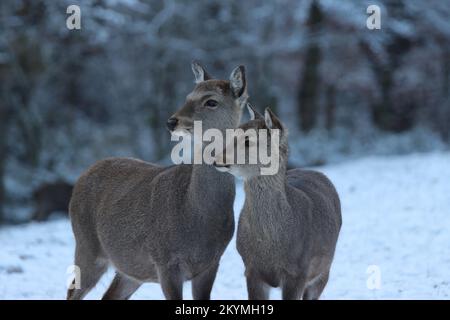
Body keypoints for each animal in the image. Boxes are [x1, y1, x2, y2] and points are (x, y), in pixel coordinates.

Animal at [67, 62, 250, 300]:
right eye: (188, 96)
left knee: (109, 295)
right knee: (72, 290)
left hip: (130, 268)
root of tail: (82, 175)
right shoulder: (165, 260)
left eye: (211, 101)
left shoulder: (210, 264)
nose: (172, 121)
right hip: (87, 246)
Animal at [214, 105, 342, 300]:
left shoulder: (298, 272)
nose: (217, 158)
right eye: (233, 133)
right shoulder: (250, 269)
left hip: (324, 270)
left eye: (248, 141)